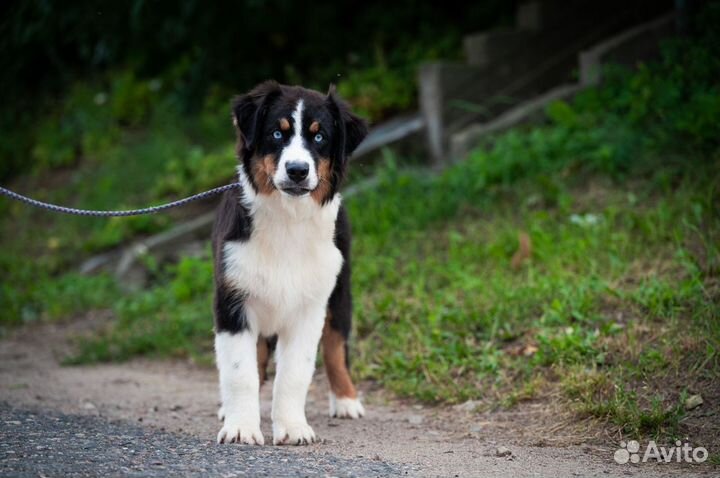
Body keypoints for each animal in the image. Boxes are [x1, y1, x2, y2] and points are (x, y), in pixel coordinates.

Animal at [208, 81, 366, 444]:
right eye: (277, 134)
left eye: (319, 137)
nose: (297, 170)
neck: (287, 220)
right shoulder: (232, 301)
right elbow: (240, 372)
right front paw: (240, 428)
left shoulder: (310, 308)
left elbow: (295, 373)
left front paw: (293, 428)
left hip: (340, 291)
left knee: (336, 345)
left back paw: (346, 400)